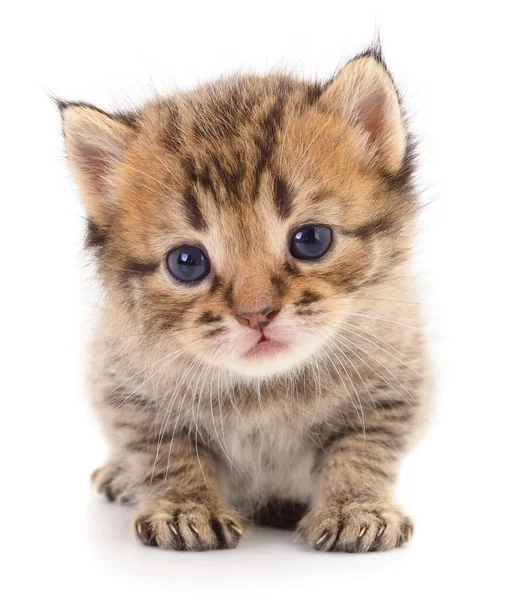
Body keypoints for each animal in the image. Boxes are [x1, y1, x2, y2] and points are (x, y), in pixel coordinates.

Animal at [62, 47, 434, 552]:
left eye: (311, 240)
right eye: (186, 263)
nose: (257, 315)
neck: (265, 388)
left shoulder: (393, 385)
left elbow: (362, 450)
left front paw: (355, 507)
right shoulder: (126, 387)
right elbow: (167, 451)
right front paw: (186, 507)